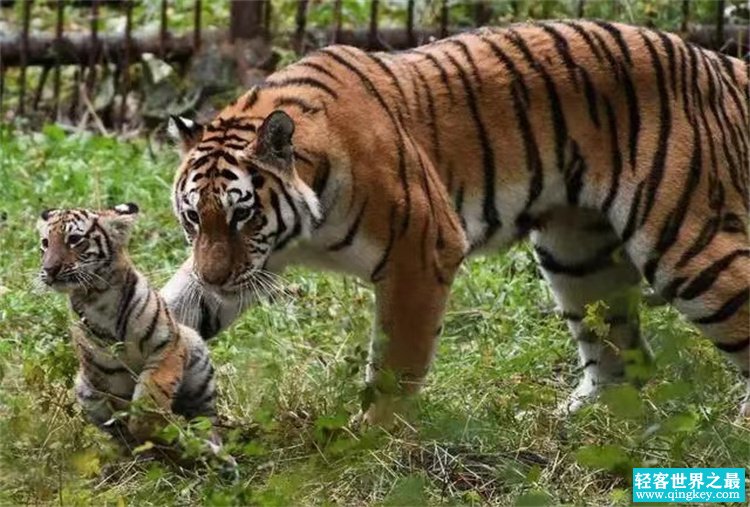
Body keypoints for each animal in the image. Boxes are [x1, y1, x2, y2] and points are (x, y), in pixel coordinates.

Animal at [162, 20, 748, 424]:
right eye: (193, 217)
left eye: (243, 214)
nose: (214, 275)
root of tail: (714, 61)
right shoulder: (249, 264)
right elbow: (176, 309)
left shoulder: (419, 252)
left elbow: (396, 360)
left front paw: (370, 436)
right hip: (576, 257)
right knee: (625, 357)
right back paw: (578, 419)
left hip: (689, 248)